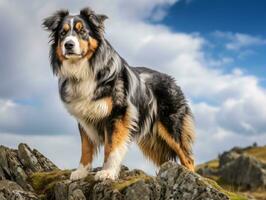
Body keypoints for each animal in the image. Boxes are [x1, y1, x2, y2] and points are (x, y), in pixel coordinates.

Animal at [43, 7, 195, 180]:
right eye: (63, 33)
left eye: (83, 32)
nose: (68, 44)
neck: (85, 69)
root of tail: (173, 80)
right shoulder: (84, 117)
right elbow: (86, 147)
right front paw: (81, 172)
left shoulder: (118, 114)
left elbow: (111, 147)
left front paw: (107, 172)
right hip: (151, 140)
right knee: (166, 160)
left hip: (171, 127)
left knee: (188, 158)